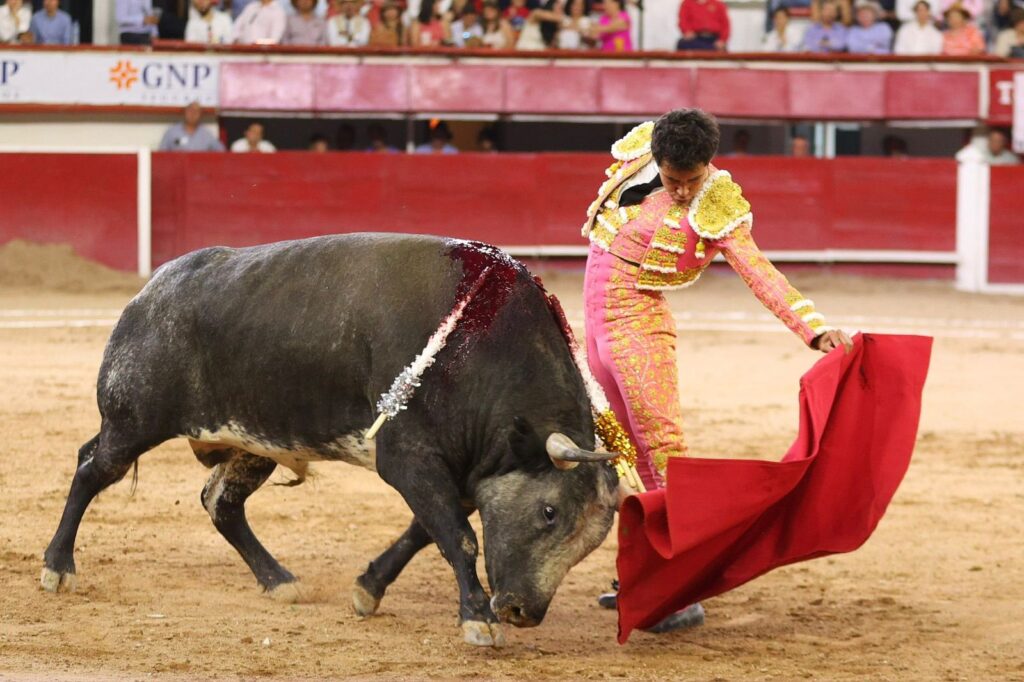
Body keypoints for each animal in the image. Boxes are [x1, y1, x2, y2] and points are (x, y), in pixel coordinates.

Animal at [39, 232, 618, 643]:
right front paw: (477, 618)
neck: (481, 348)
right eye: (549, 512)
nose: (522, 611)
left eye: (595, 539)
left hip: (253, 444)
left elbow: (426, 530)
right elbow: (458, 536)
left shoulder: (465, 471)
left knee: (221, 503)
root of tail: (150, 291)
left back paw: (278, 581)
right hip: (133, 421)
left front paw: (368, 591)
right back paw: (57, 568)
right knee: (92, 468)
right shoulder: (407, 459)